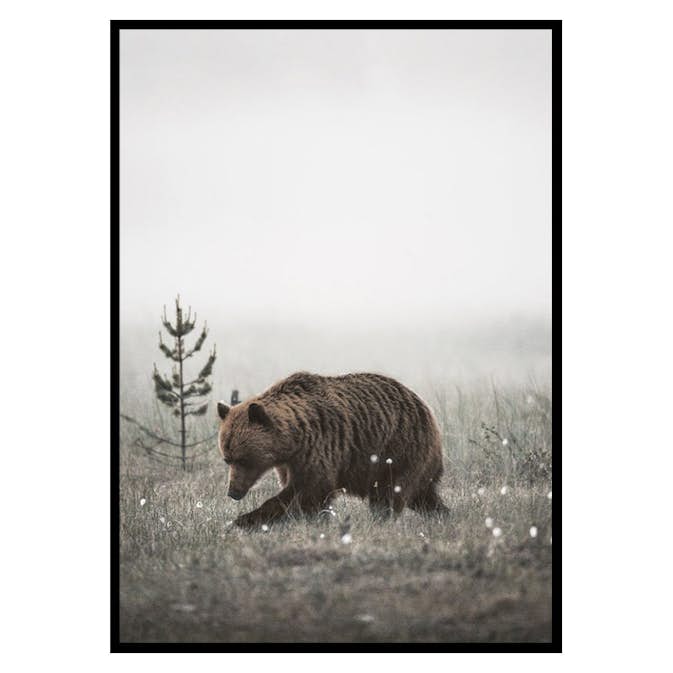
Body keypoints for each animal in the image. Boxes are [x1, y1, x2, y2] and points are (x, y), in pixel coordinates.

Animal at [216, 371, 447, 528]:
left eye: (244, 459)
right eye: (227, 459)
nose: (233, 492)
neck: (293, 439)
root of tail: (427, 409)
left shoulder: (318, 447)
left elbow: (309, 490)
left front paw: (244, 520)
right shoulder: (289, 462)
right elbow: (302, 491)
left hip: (398, 450)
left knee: (390, 493)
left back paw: (381, 520)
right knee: (423, 495)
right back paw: (442, 514)